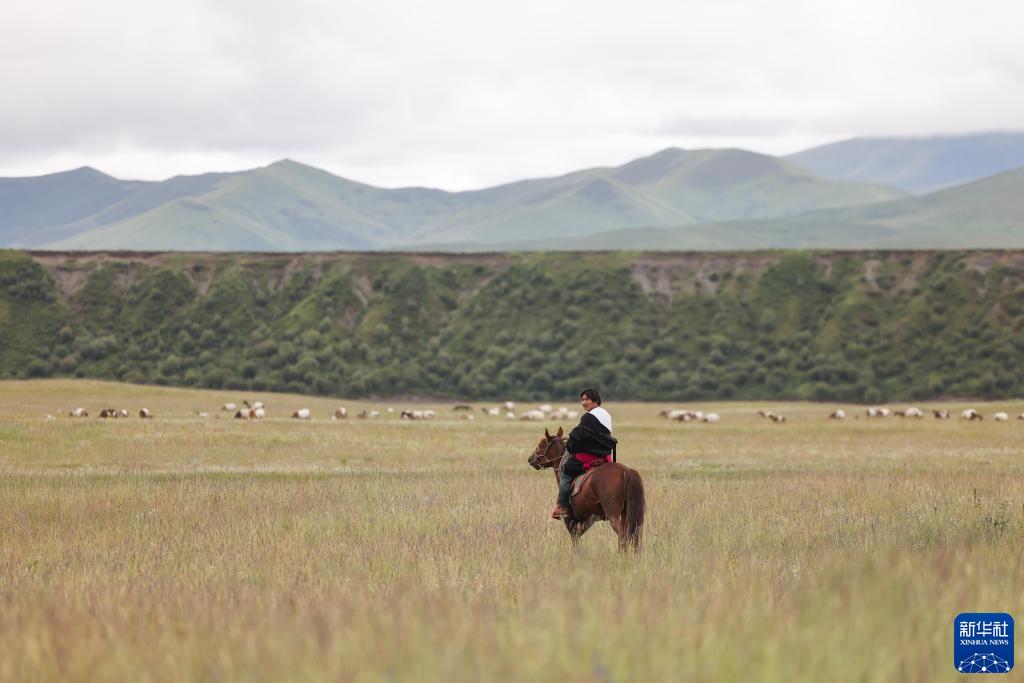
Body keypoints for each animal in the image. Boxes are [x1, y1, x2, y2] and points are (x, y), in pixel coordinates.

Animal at [532, 428, 643, 557]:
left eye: (541, 445)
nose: (530, 459)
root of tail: (626, 472)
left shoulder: (570, 520)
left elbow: (575, 538)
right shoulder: (590, 517)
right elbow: (579, 534)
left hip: (613, 515)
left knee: (622, 535)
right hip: (625, 515)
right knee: (631, 535)